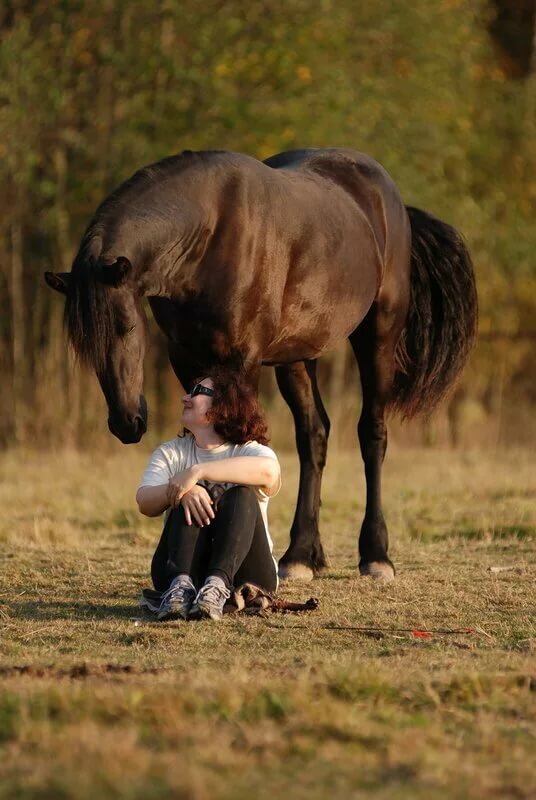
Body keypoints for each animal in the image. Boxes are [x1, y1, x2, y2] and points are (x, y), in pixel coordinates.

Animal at [45, 148, 477, 582]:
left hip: (378, 335)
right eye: (84, 344)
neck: (209, 237)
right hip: (297, 356)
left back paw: (375, 556)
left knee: (372, 434)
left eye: (126, 326)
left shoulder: (244, 360)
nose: (126, 422)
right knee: (314, 436)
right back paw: (301, 555)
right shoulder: (186, 357)